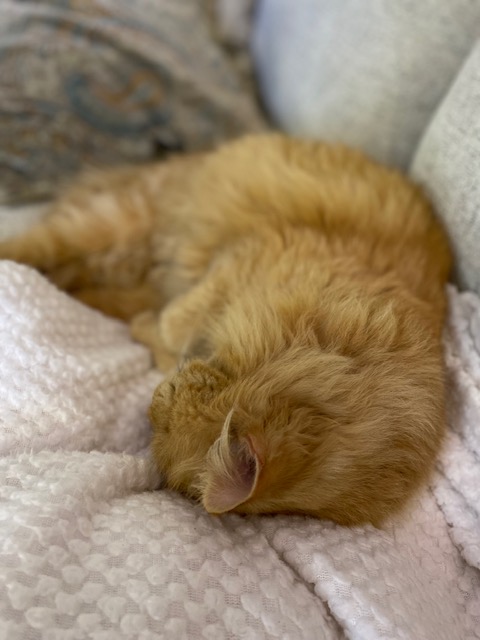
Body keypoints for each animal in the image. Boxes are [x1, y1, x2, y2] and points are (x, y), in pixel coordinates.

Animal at [0, 134, 452, 524]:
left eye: (161, 423)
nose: (151, 402)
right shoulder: (243, 255)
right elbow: (178, 318)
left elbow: (161, 330)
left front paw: (150, 333)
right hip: (113, 221)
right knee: (36, 245)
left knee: (79, 280)